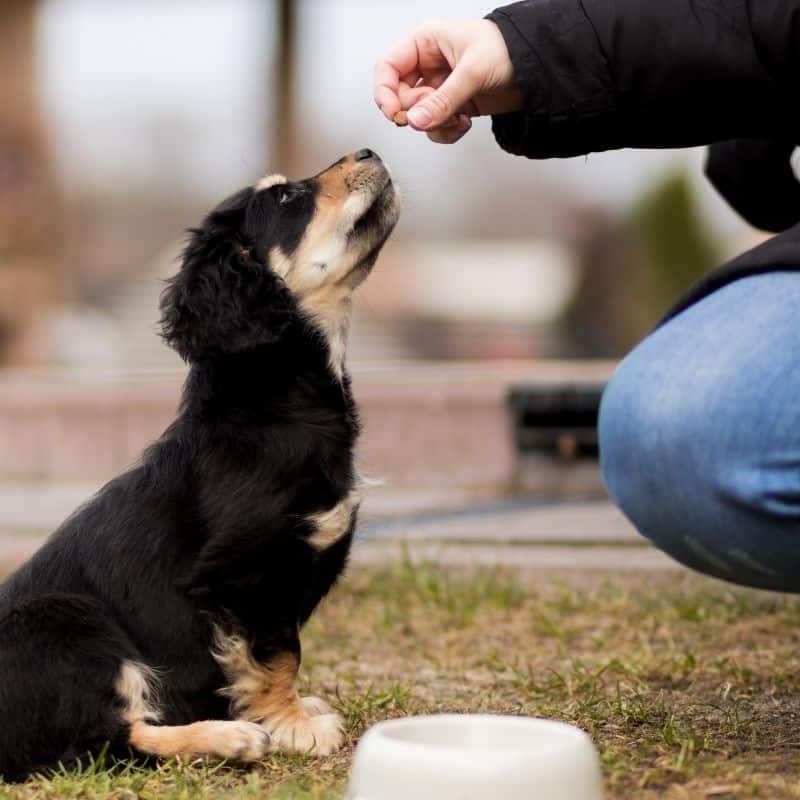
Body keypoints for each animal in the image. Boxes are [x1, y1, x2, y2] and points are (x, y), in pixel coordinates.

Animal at [0, 150, 400, 780]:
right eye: (287, 198)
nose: (369, 152)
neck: (273, 395)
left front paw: (290, 714)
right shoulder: (244, 575)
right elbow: (278, 654)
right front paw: (292, 726)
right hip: (66, 619)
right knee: (103, 741)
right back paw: (228, 738)